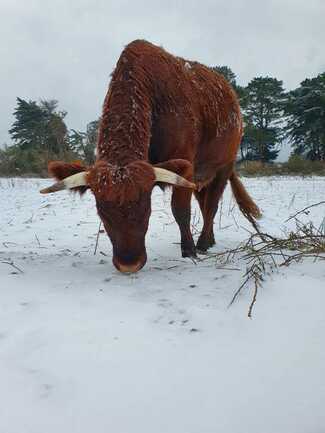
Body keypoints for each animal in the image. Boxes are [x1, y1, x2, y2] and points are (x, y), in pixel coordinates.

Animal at [40, 38, 260, 272]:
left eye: (146, 207)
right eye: (102, 211)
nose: (129, 264)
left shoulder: (185, 163)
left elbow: (180, 209)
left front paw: (189, 250)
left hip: (224, 165)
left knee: (212, 204)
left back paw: (202, 243)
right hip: (202, 174)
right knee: (204, 202)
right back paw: (209, 239)